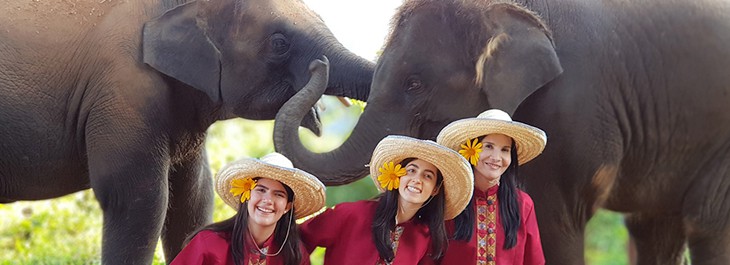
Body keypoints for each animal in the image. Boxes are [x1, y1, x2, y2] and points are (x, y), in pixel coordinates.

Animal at [272, 0, 728, 262]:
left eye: (414, 84)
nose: (317, 65)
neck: (500, 7)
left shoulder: (571, 107)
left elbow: (554, 223)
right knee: (655, 229)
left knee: (705, 226)